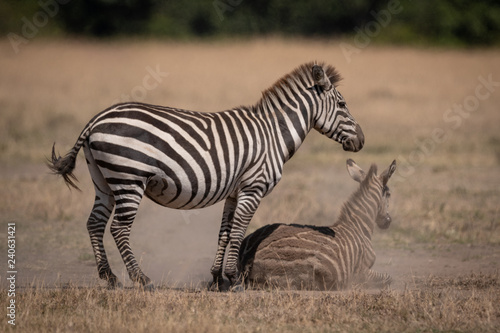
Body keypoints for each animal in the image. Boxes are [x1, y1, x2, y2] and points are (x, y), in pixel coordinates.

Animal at [48, 61, 366, 290]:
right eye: (342, 105)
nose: (361, 141)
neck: (273, 134)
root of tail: (96, 119)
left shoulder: (234, 191)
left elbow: (224, 232)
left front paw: (217, 279)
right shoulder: (253, 187)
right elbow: (238, 231)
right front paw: (234, 280)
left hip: (104, 180)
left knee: (95, 223)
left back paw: (110, 278)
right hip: (129, 178)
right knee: (118, 228)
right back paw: (142, 279)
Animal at [239, 160, 398, 290]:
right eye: (389, 194)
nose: (388, 222)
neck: (359, 227)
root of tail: (247, 258)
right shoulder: (360, 273)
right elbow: (388, 278)